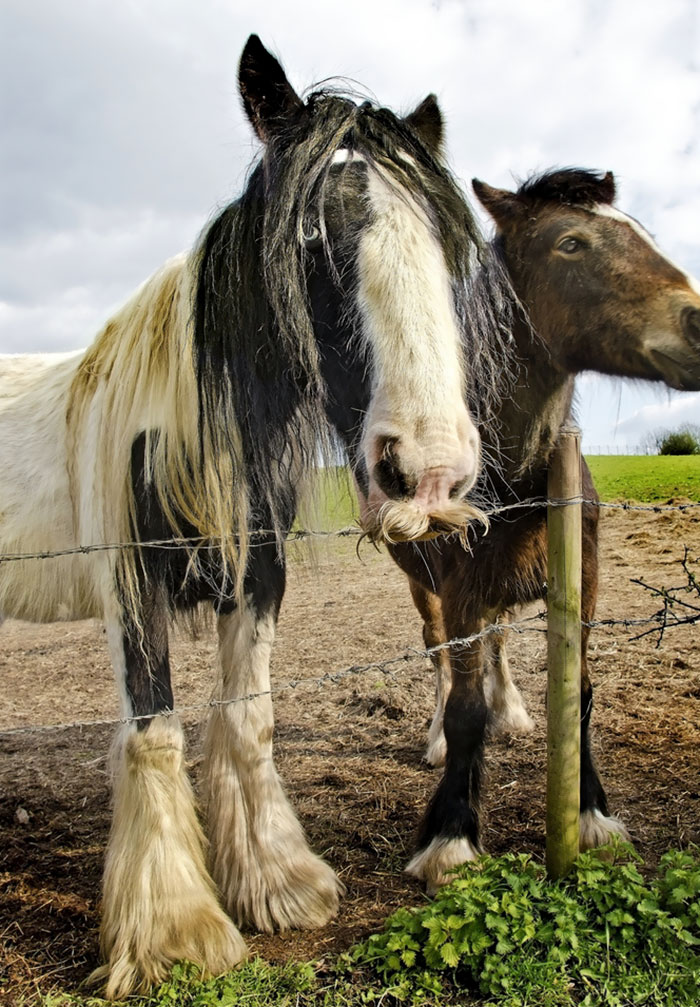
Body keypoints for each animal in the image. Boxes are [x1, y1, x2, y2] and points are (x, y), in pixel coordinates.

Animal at [0, 33, 509, 998]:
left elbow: (248, 719)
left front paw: (276, 882)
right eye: (308, 235)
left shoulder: (258, 578)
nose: (429, 472)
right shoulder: (131, 590)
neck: (181, 430)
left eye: (442, 238)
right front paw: (176, 929)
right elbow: (155, 731)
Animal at [382, 169, 700, 894]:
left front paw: (592, 816)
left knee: (494, 647)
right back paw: (435, 737)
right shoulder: (461, 589)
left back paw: (513, 711)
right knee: (441, 658)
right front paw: (450, 836)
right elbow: (465, 708)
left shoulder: (582, 580)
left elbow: (577, 691)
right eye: (570, 243)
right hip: (424, 590)